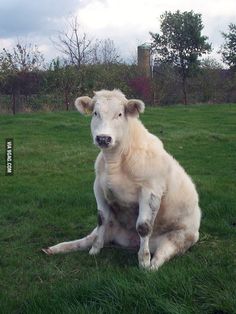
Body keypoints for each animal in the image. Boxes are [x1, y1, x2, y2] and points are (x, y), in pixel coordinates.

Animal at [42, 89, 201, 270]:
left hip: (180, 237)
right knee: (86, 239)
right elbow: (101, 218)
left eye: (119, 114)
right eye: (95, 113)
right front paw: (95, 250)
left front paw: (143, 262)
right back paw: (55, 248)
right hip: (111, 228)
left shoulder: (150, 190)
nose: (103, 138)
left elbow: (144, 227)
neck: (115, 161)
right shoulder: (98, 186)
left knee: (163, 253)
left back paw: (152, 265)